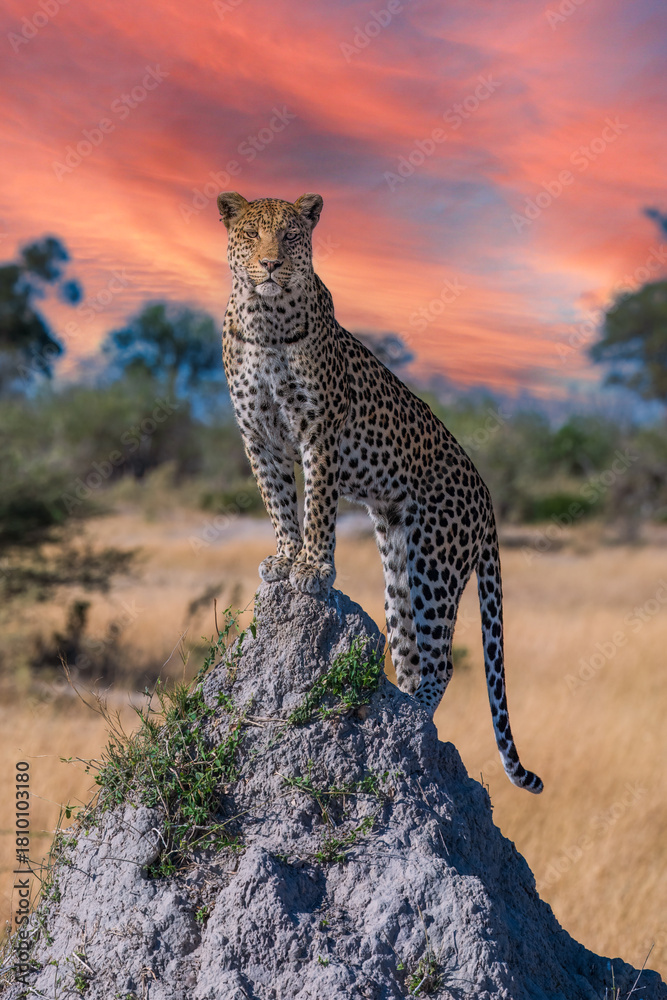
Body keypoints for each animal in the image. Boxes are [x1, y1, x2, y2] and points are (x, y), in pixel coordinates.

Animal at [217, 190, 543, 794]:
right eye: (251, 234)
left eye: (291, 235)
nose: (270, 264)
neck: (266, 321)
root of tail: (486, 492)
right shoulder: (258, 436)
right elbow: (279, 503)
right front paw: (284, 559)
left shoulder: (318, 431)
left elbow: (317, 505)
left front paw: (313, 569)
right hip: (398, 560)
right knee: (410, 656)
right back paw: (407, 714)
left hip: (436, 563)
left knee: (440, 662)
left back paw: (413, 726)